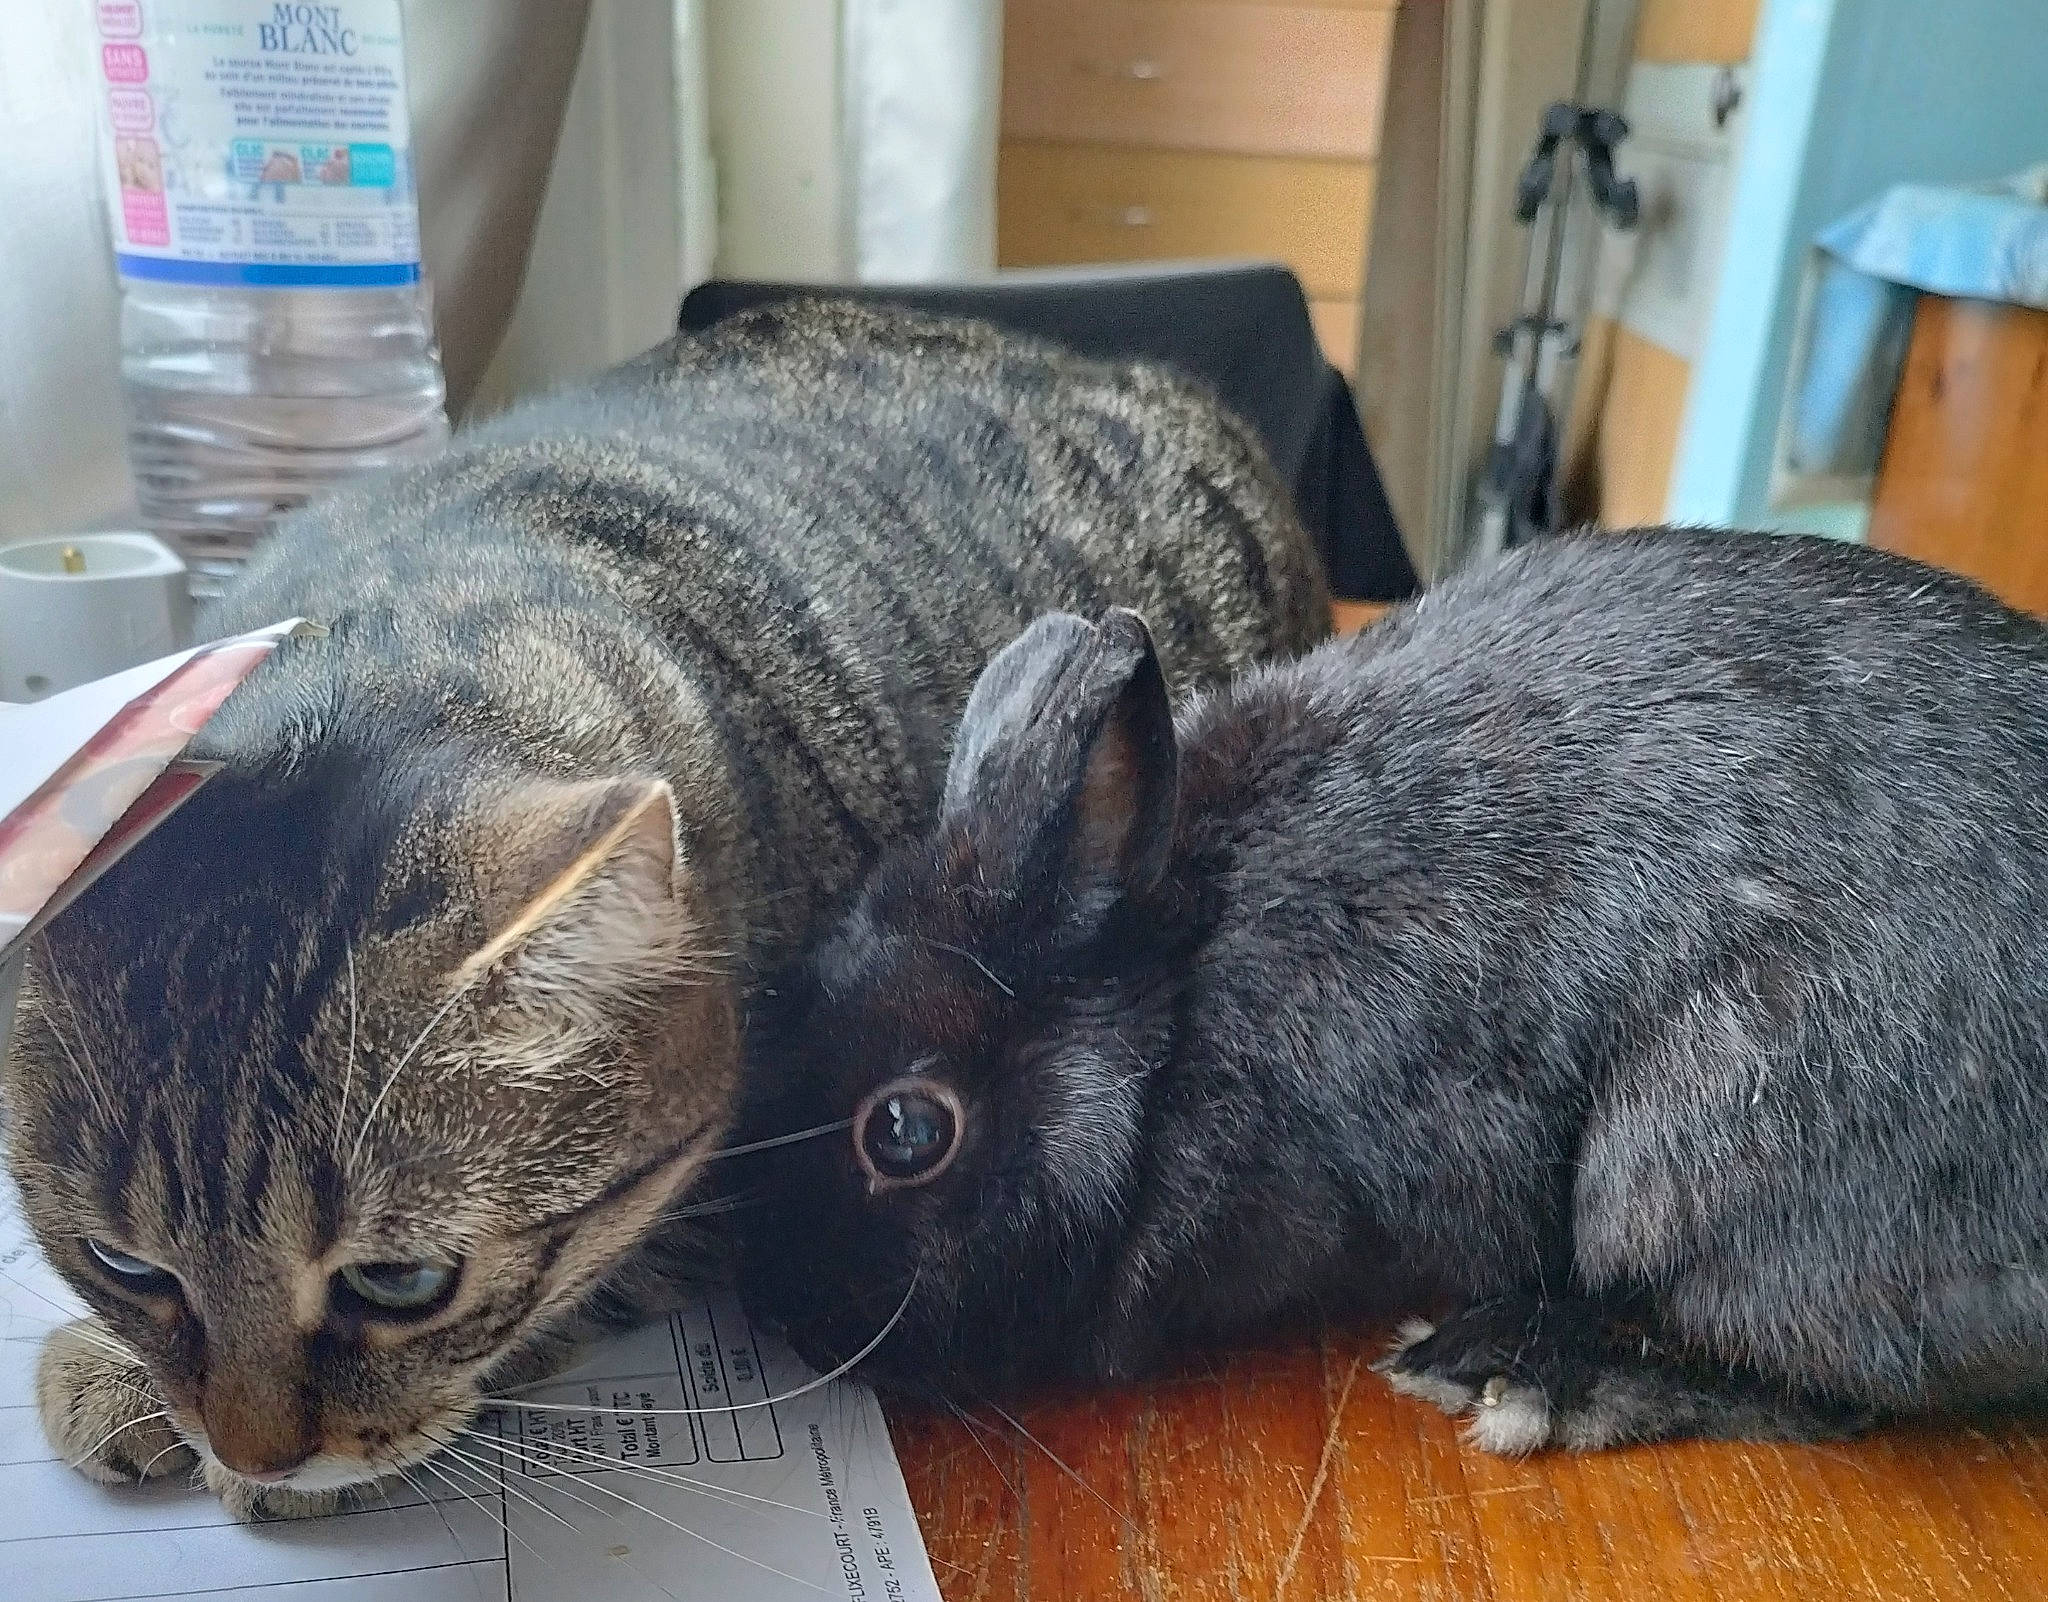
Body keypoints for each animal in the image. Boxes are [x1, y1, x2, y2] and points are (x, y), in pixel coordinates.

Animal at [736, 528, 2048, 1454]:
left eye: (906, 1133)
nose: (784, 1310)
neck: (1170, 1007)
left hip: (1710, 1159)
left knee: (1823, 1387)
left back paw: (1511, 1376)